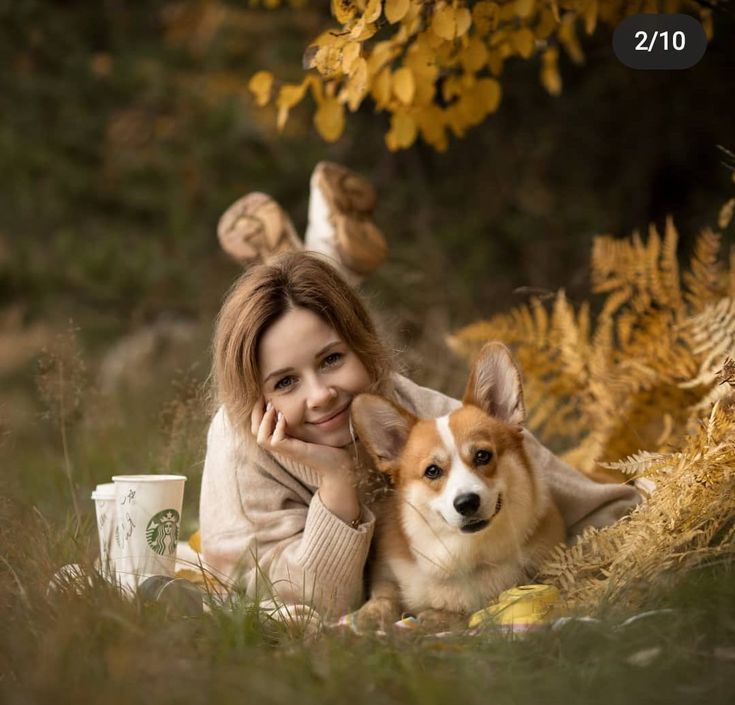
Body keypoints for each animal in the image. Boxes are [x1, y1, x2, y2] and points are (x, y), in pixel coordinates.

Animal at [350, 340, 564, 628]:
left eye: (482, 455)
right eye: (432, 471)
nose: (467, 503)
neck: (464, 555)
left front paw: (436, 616)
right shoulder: (388, 574)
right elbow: (384, 595)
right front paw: (371, 614)